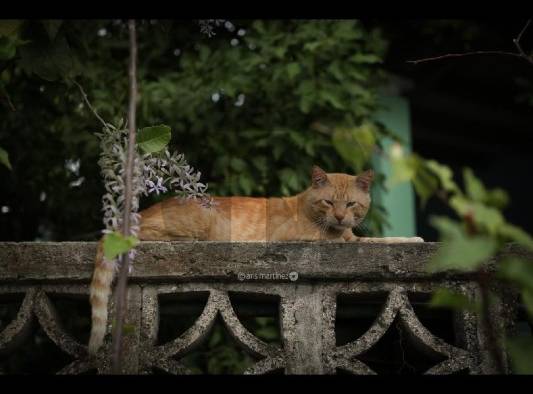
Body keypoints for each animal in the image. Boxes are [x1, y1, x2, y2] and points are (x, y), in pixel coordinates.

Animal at [90, 165, 424, 352]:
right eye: (329, 202)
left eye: (352, 204)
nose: (341, 217)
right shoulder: (296, 237)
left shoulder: (353, 237)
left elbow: (382, 240)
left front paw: (413, 240)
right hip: (199, 222)